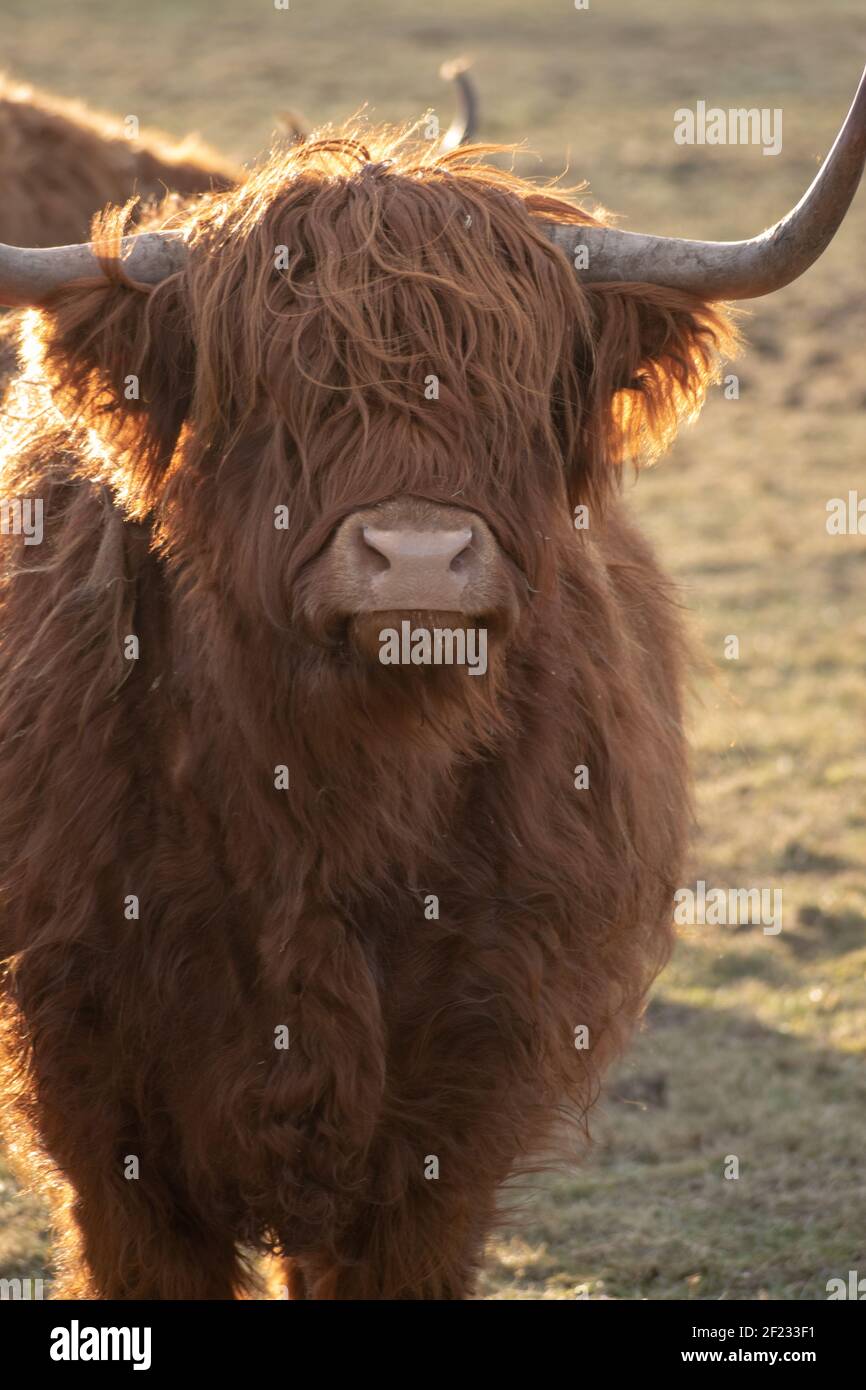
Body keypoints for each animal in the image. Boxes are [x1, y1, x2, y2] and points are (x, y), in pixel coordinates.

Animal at [0, 63, 862, 1300]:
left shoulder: (456, 1107)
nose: (416, 558)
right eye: (276, 391)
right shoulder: (102, 1106)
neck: (328, 798)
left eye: (515, 384)